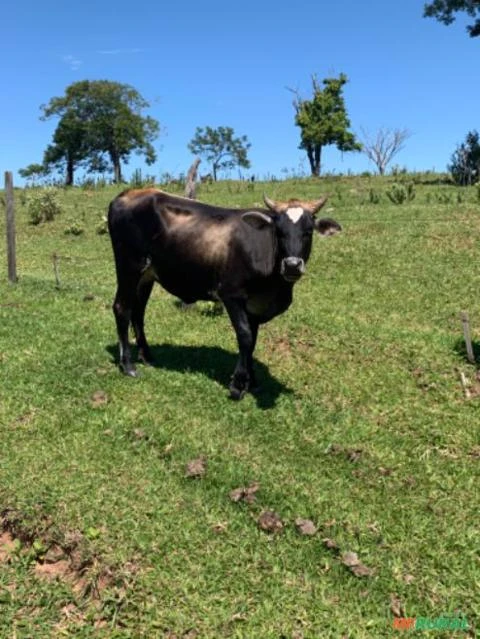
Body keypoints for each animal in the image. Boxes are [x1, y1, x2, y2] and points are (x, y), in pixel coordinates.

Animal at [108, 189, 342, 400]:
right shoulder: (232, 295)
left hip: (147, 275)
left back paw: (147, 356)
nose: (292, 265)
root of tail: (126, 194)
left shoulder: (255, 306)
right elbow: (245, 337)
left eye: (308, 231)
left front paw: (252, 381)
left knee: (138, 312)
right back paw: (128, 365)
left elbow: (253, 340)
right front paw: (238, 384)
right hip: (129, 266)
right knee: (122, 308)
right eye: (278, 231)